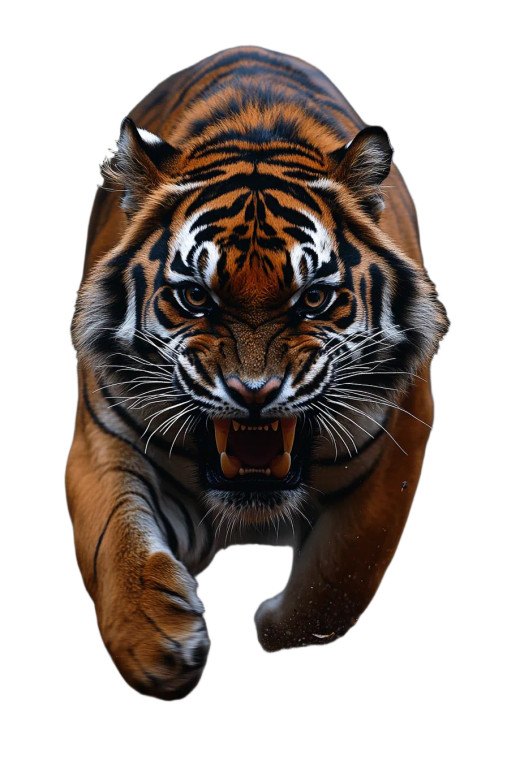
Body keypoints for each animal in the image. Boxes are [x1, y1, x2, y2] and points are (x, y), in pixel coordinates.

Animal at [66, 46, 448, 700]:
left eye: (314, 299)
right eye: (194, 297)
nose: (254, 393)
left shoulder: (400, 439)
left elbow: (345, 570)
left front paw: (273, 627)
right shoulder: (103, 436)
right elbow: (111, 539)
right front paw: (154, 643)